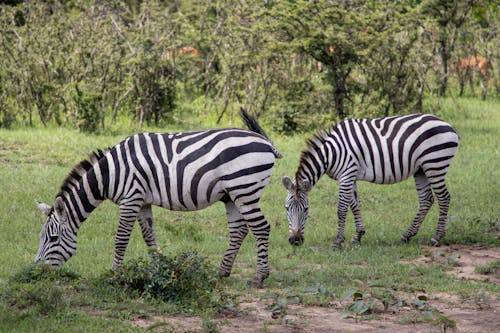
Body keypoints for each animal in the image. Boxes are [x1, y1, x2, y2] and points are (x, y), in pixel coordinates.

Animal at [36, 107, 282, 284]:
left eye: (53, 238)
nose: (38, 271)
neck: (111, 173)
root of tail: (265, 142)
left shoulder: (130, 198)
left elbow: (121, 239)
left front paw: (114, 274)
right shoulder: (142, 201)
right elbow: (149, 238)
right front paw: (157, 269)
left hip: (245, 189)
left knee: (261, 227)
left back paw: (260, 276)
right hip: (231, 195)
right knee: (239, 230)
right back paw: (222, 272)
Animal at [284, 113, 458, 246]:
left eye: (306, 209)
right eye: (286, 209)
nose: (295, 241)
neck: (331, 153)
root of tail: (449, 125)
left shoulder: (346, 175)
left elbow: (341, 208)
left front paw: (338, 241)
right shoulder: (350, 175)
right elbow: (354, 205)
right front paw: (358, 236)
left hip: (435, 164)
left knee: (444, 198)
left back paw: (436, 237)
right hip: (421, 169)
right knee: (426, 199)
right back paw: (407, 235)